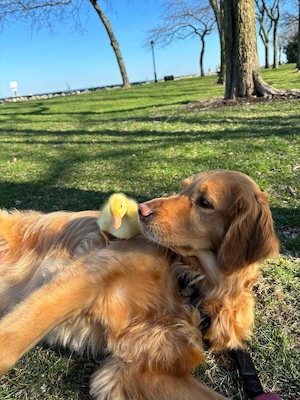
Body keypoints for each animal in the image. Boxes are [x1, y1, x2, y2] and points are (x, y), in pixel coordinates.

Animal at [0, 170, 278, 398]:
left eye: (205, 203)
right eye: (182, 189)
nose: (141, 210)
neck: (189, 281)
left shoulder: (144, 367)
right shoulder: (91, 273)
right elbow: (13, 339)